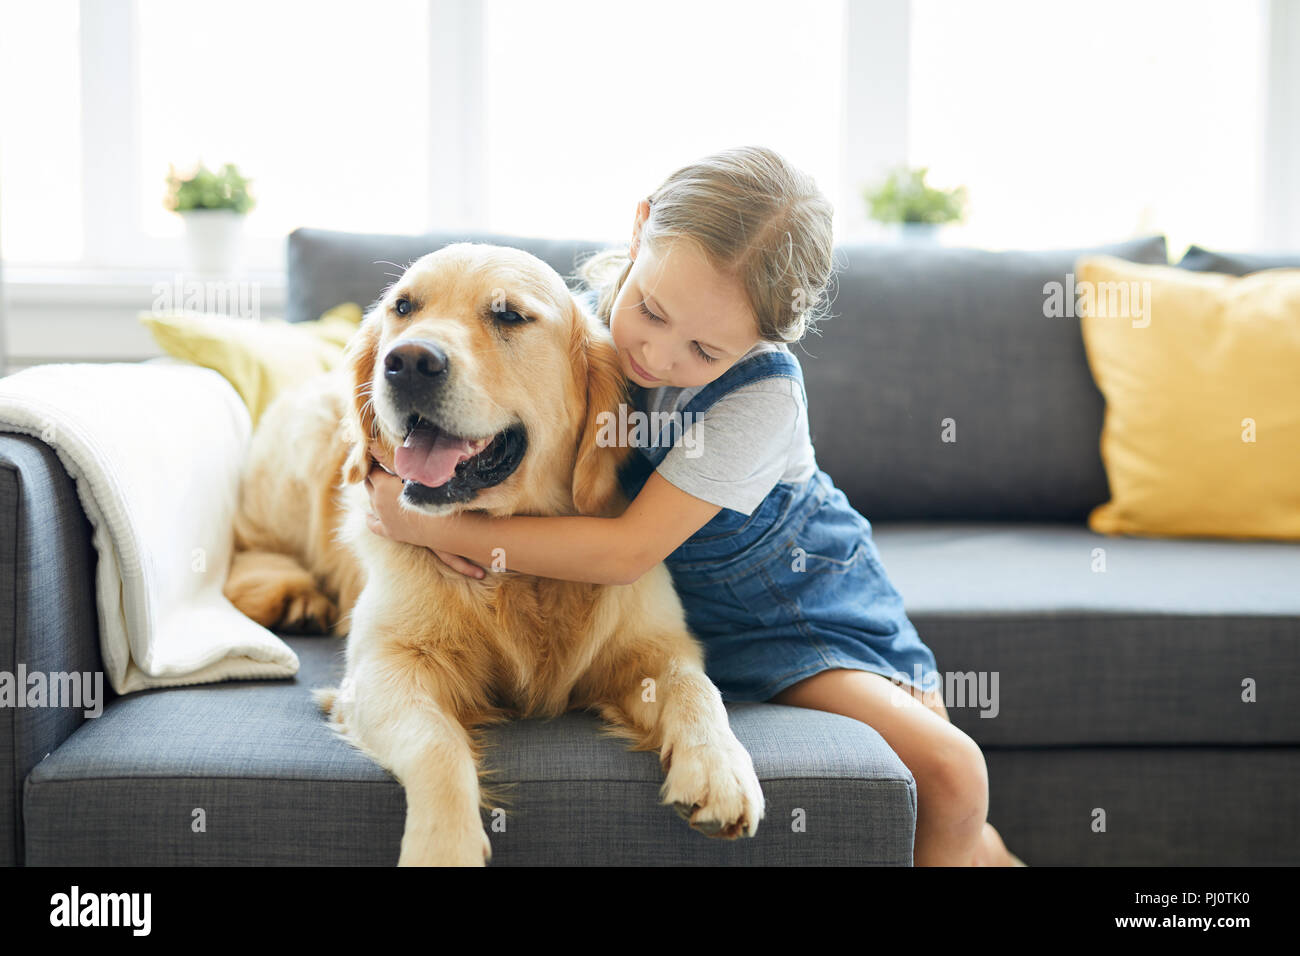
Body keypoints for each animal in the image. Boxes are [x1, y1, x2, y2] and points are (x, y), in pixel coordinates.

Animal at [226, 243, 759, 863]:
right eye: (403, 307)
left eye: (509, 316)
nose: (407, 362)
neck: (517, 564)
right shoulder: (384, 665)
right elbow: (437, 743)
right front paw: (442, 846)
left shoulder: (654, 644)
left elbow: (695, 687)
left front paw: (720, 770)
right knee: (248, 546)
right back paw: (294, 595)